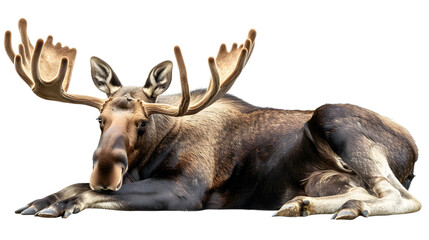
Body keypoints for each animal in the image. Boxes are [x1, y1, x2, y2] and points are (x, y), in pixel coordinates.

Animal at [6, 19, 420, 219]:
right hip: (322, 178)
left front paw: (59, 205)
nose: (105, 172)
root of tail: (413, 152)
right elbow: (73, 183)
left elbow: (91, 192)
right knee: (362, 191)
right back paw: (303, 206)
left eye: (142, 122)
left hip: (333, 119)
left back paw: (346, 209)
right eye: (99, 120)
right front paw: (40, 201)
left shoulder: (185, 190)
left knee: (402, 197)